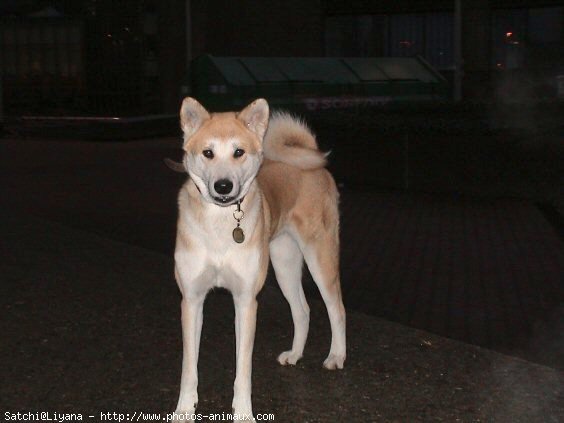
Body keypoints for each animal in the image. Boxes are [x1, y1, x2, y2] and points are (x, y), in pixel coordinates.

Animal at [174, 98, 346, 420]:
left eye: (238, 152)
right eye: (208, 153)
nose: (224, 186)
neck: (219, 223)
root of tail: (311, 160)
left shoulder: (245, 301)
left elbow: (243, 369)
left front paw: (243, 412)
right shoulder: (192, 299)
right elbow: (189, 368)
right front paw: (184, 409)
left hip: (320, 257)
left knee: (337, 309)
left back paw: (336, 356)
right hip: (284, 264)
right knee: (302, 310)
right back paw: (295, 354)